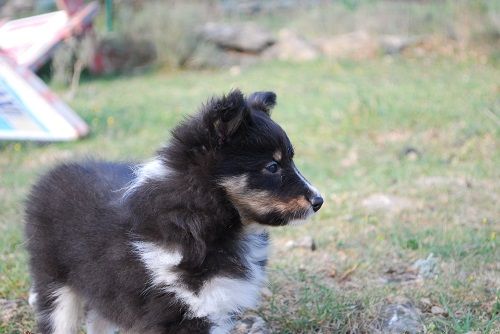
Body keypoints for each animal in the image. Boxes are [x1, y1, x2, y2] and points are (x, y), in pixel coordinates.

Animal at [24, 90, 324, 332]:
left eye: (291, 160)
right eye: (272, 167)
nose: (319, 200)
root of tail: (54, 172)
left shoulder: (217, 307)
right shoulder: (179, 311)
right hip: (55, 284)